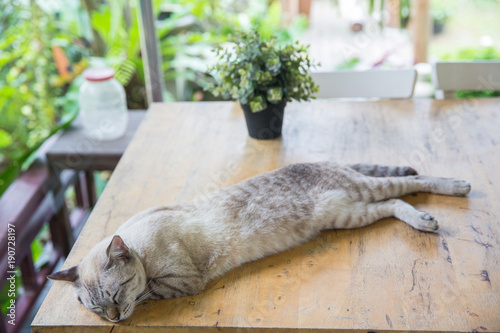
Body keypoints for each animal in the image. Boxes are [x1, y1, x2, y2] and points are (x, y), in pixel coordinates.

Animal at [47, 161, 472, 322]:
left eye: (115, 297)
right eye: (97, 310)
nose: (115, 320)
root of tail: (329, 161)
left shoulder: (181, 282)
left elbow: (149, 290)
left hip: (363, 192)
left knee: (414, 182)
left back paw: (456, 189)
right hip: (349, 215)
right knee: (395, 204)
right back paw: (423, 220)